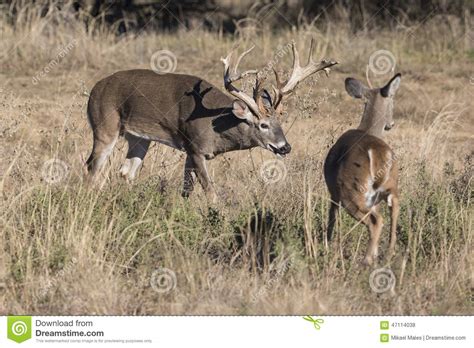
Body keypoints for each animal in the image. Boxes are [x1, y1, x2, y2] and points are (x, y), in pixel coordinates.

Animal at [86, 39, 336, 200]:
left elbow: (186, 191)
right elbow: (211, 192)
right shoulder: (195, 148)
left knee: (126, 172)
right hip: (105, 125)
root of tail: (94, 88)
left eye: (279, 124)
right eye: (263, 125)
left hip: (139, 138)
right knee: (92, 166)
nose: (285, 147)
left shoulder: (190, 152)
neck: (217, 127)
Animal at [322, 72, 400, 264]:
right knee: (394, 208)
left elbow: (332, 218)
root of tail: (378, 152)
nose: (391, 123)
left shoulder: (333, 192)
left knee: (376, 221)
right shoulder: (374, 200)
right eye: (392, 99)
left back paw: (366, 261)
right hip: (390, 185)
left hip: (351, 190)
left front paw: (327, 247)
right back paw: (386, 255)